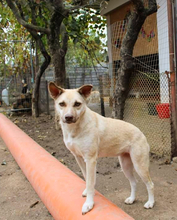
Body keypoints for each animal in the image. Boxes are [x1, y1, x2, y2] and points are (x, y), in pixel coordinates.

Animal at [48, 82, 155, 215]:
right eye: (61, 104)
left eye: (77, 104)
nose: (68, 117)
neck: (75, 129)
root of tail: (141, 132)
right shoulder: (79, 158)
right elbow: (86, 178)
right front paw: (87, 193)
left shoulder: (90, 160)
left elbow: (90, 183)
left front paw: (89, 204)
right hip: (125, 166)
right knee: (134, 182)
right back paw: (131, 199)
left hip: (140, 166)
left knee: (150, 184)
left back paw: (150, 203)